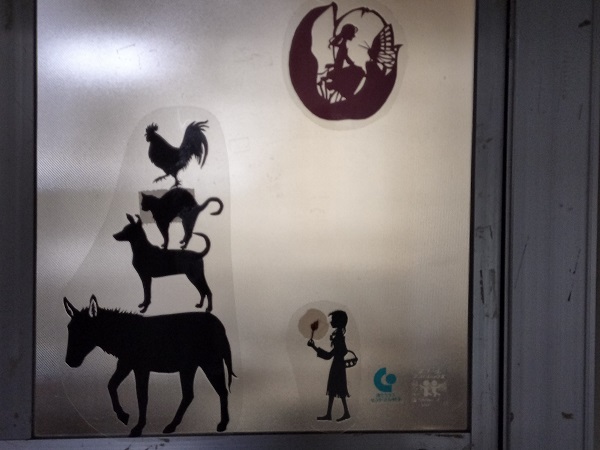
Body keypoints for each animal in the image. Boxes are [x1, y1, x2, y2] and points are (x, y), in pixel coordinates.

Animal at [63, 294, 235, 437]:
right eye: (69, 329)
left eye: (84, 332)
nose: (69, 361)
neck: (123, 336)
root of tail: (220, 325)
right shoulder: (125, 364)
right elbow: (111, 385)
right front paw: (123, 416)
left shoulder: (141, 368)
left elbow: (142, 396)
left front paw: (138, 427)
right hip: (189, 367)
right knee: (190, 395)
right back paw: (172, 426)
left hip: (211, 362)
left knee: (221, 391)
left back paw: (223, 424)